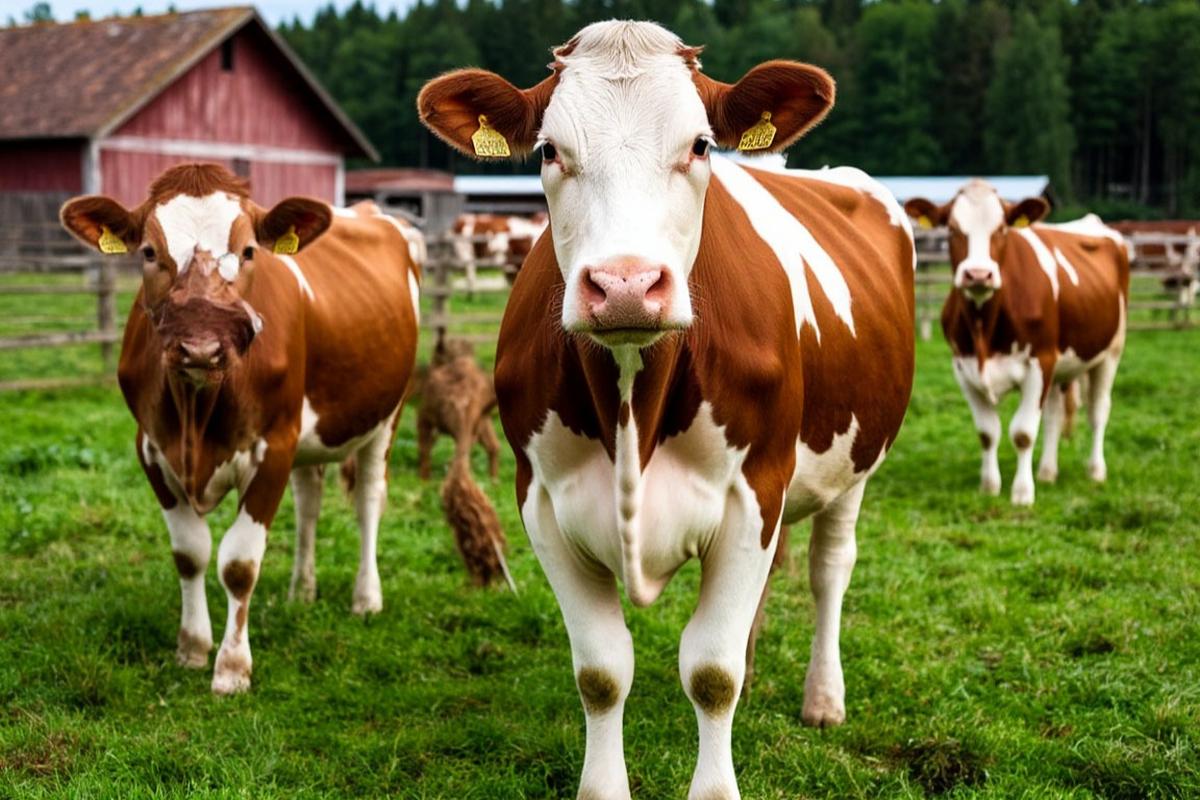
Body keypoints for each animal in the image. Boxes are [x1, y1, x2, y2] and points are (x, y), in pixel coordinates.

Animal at [60, 163, 420, 694]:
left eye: (249, 251)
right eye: (149, 252)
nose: (201, 347)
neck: (195, 413)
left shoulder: (273, 448)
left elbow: (239, 563)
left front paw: (232, 668)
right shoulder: (152, 449)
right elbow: (190, 553)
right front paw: (192, 647)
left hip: (387, 415)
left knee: (369, 500)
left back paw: (365, 598)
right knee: (309, 501)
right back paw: (301, 590)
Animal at [419, 21, 915, 800]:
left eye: (701, 145)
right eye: (550, 150)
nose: (625, 285)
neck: (632, 406)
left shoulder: (753, 493)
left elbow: (711, 674)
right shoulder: (543, 503)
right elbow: (601, 673)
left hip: (852, 464)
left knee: (829, 568)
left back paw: (823, 698)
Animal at [904, 181, 1129, 506]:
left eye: (1001, 229)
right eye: (953, 229)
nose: (978, 274)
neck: (984, 326)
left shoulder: (1039, 363)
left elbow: (1023, 433)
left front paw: (1022, 494)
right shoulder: (963, 369)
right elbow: (987, 432)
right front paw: (989, 486)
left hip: (1110, 352)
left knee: (1098, 411)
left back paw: (1096, 471)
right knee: (1053, 414)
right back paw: (1047, 472)